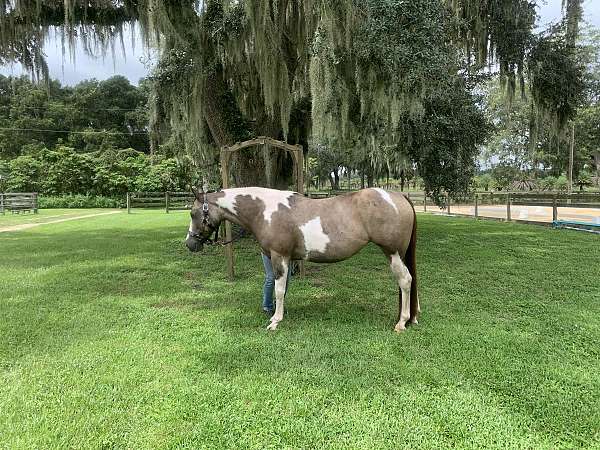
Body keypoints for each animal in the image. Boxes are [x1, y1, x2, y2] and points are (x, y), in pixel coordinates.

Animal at [185, 186, 420, 330]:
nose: (190, 244)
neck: (264, 211)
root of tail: (399, 196)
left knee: (405, 281)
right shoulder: (285, 258)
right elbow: (283, 289)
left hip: (393, 252)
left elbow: (279, 290)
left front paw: (275, 321)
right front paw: (279, 314)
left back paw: (401, 322)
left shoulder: (279, 256)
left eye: (193, 213)